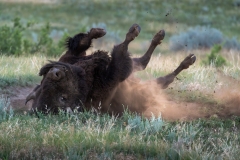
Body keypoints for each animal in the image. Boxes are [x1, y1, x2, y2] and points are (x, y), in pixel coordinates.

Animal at [25, 23, 196, 115]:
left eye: (43, 81)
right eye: (62, 98)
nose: (56, 73)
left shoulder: (71, 56)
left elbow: (81, 42)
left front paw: (99, 31)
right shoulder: (113, 75)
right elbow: (121, 50)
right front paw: (133, 31)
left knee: (143, 62)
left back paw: (164, 39)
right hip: (146, 88)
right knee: (163, 79)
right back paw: (187, 60)